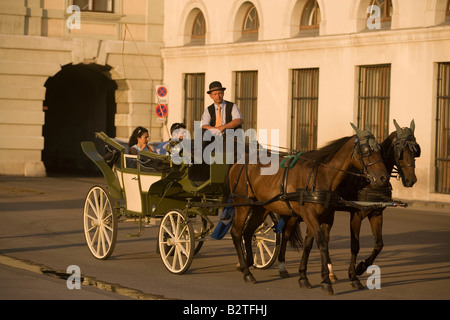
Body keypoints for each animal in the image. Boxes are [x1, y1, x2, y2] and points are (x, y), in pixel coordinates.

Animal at [230, 124, 388, 296]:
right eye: (366, 151)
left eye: (379, 150)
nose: (383, 178)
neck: (323, 175)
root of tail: (238, 163)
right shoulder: (311, 214)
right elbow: (322, 243)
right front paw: (326, 281)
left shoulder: (322, 216)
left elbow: (309, 244)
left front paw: (304, 278)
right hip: (243, 204)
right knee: (237, 233)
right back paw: (246, 271)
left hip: (261, 207)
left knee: (248, 232)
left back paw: (248, 263)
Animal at [276, 120, 420, 290]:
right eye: (400, 152)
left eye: (416, 151)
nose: (411, 180)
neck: (368, 182)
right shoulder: (356, 214)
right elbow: (355, 245)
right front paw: (354, 276)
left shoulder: (376, 214)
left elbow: (379, 244)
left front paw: (361, 267)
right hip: (295, 212)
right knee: (286, 234)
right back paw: (282, 267)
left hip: (326, 213)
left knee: (322, 237)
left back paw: (330, 273)